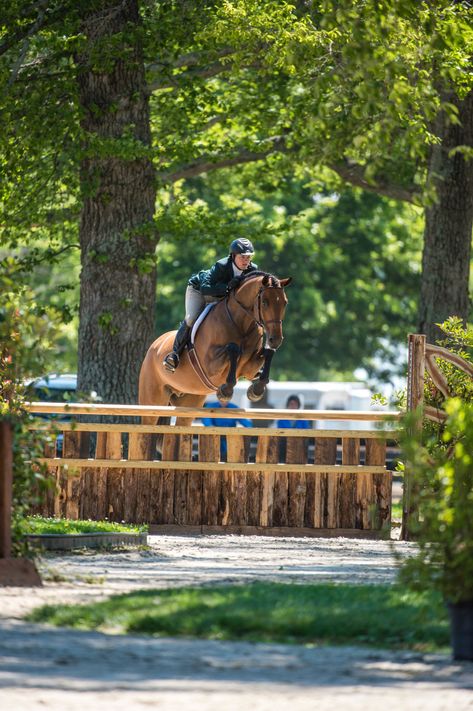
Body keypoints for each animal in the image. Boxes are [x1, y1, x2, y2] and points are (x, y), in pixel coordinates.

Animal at [137, 270, 292, 426]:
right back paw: (171, 360)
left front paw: (256, 390)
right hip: (152, 400)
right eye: (265, 302)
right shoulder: (210, 366)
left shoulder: (250, 368)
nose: (275, 340)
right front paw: (225, 391)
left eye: (285, 302)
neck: (242, 324)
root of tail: (155, 345)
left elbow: (269, 353)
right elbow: (233, 348)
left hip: (190, 400)